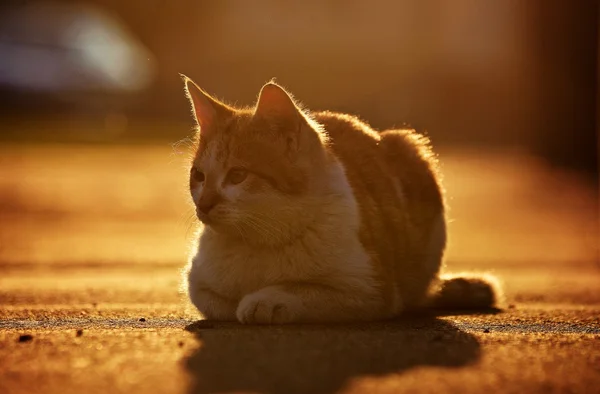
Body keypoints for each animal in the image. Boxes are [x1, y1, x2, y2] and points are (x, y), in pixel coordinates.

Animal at [182, 76, 502, 324]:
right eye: (199, 175)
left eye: (237, 175)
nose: (204, 204)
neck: (262, 238)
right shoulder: (197, 282)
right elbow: (216, 302)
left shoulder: (372, 290)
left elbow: (302, 290)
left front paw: (264, 301)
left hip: (412, 149)